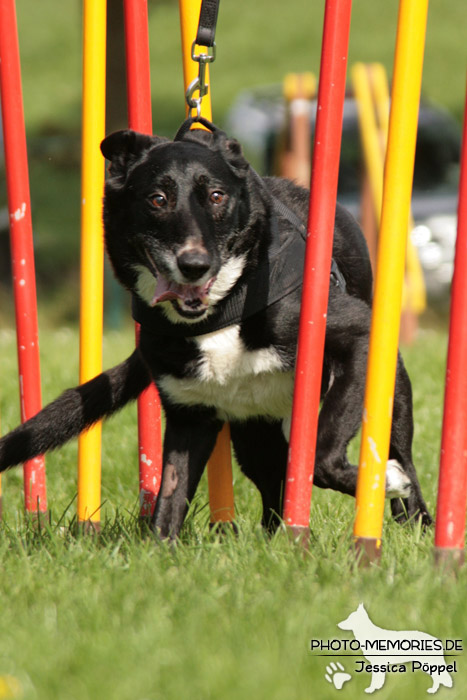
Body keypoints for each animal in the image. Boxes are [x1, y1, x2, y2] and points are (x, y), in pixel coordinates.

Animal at [0, 119, 432, 536]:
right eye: (158, 199)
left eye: (217, 196)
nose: (194, 265)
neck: (223, 311)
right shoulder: (190, 414)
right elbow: (169, 501)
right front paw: (161, 552)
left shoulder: (356, 338)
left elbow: (322, 456)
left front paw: (386, 481)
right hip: (255, 433)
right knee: (273, 487)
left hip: (389, 389)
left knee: (397, 453)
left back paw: (416, 521)